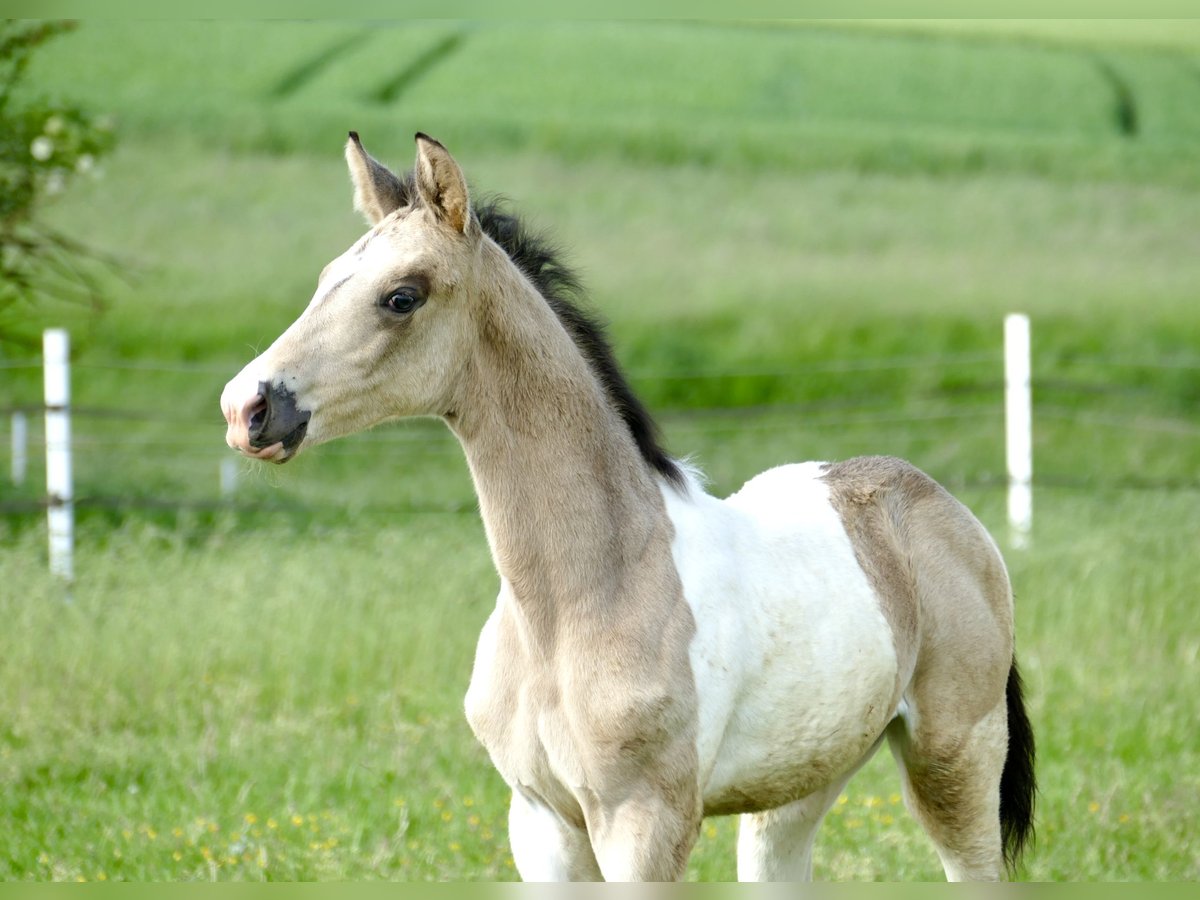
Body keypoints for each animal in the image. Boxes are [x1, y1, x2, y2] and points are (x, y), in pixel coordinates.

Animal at [220, 132, 1036, 883]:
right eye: (327, 278)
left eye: (401, 296)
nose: (247, 407)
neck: (579, 598)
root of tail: (941, 508)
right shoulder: (541, 822)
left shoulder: (642, 823)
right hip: (800, 784)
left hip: (954, 761)